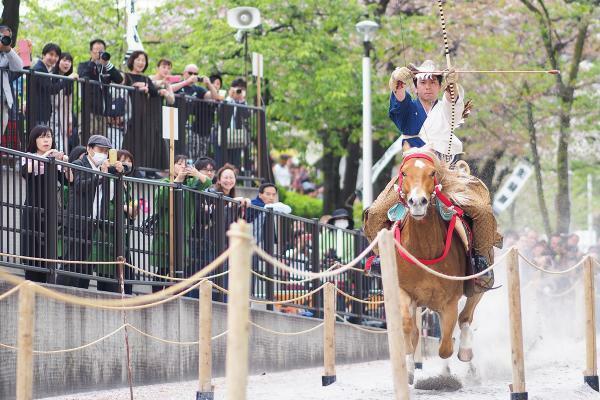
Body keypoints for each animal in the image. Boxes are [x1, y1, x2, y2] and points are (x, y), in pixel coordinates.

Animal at [364, 148, 486, 382]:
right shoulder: (404, 292)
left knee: (466, 317)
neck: (424, 250)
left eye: (432, 173)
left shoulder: (449, 301)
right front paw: (409, 370)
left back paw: (467, 355)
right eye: (404, 172)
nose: (417, 202)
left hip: (477, 281)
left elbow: (446, 346)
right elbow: (409, 329)